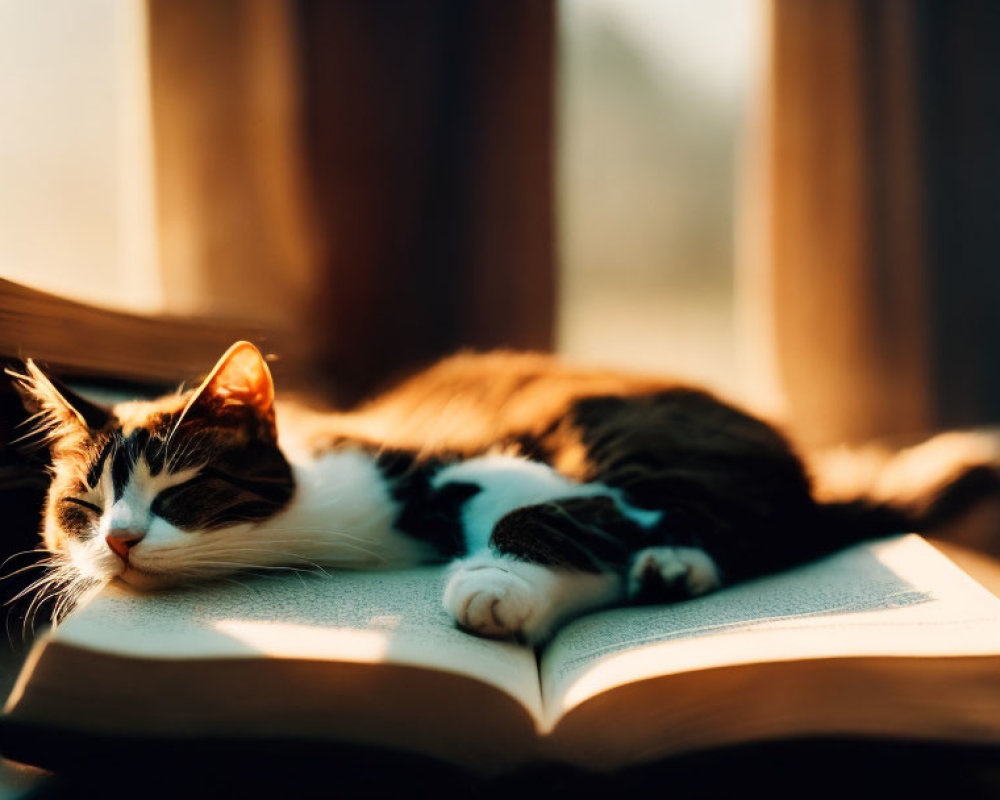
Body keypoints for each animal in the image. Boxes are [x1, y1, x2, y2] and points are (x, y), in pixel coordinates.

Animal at [9, 340, 984, 640]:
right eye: (81, 511)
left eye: (181, 488)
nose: (120, 542)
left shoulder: (466, 458)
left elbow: (548, 509)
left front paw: (497, 585)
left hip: (636, 432)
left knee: (752, 522)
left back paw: (672, 560)